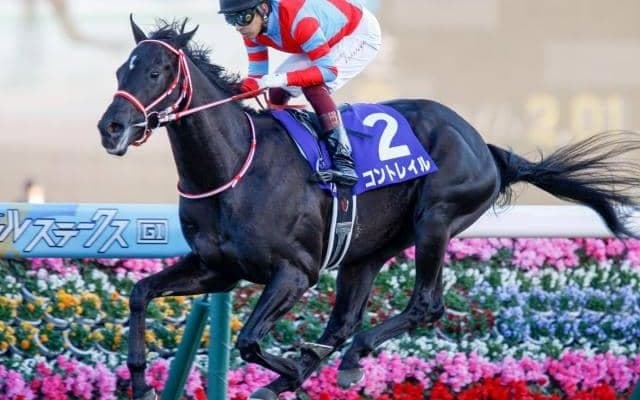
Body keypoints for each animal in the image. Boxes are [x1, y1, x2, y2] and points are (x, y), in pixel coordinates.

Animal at [97, 18, 640, 400]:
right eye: (121, 70)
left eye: (156, 71)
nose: (111, 128)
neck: (233, 168)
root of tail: (485, 145)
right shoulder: (218, 269)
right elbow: (140, 294)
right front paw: (141, 381)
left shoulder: (295, 272)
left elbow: (249, 340)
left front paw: (291, 368)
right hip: (366, 251)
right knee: (345, 322)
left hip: (436, 219)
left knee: (424, 305)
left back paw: (344, 360)